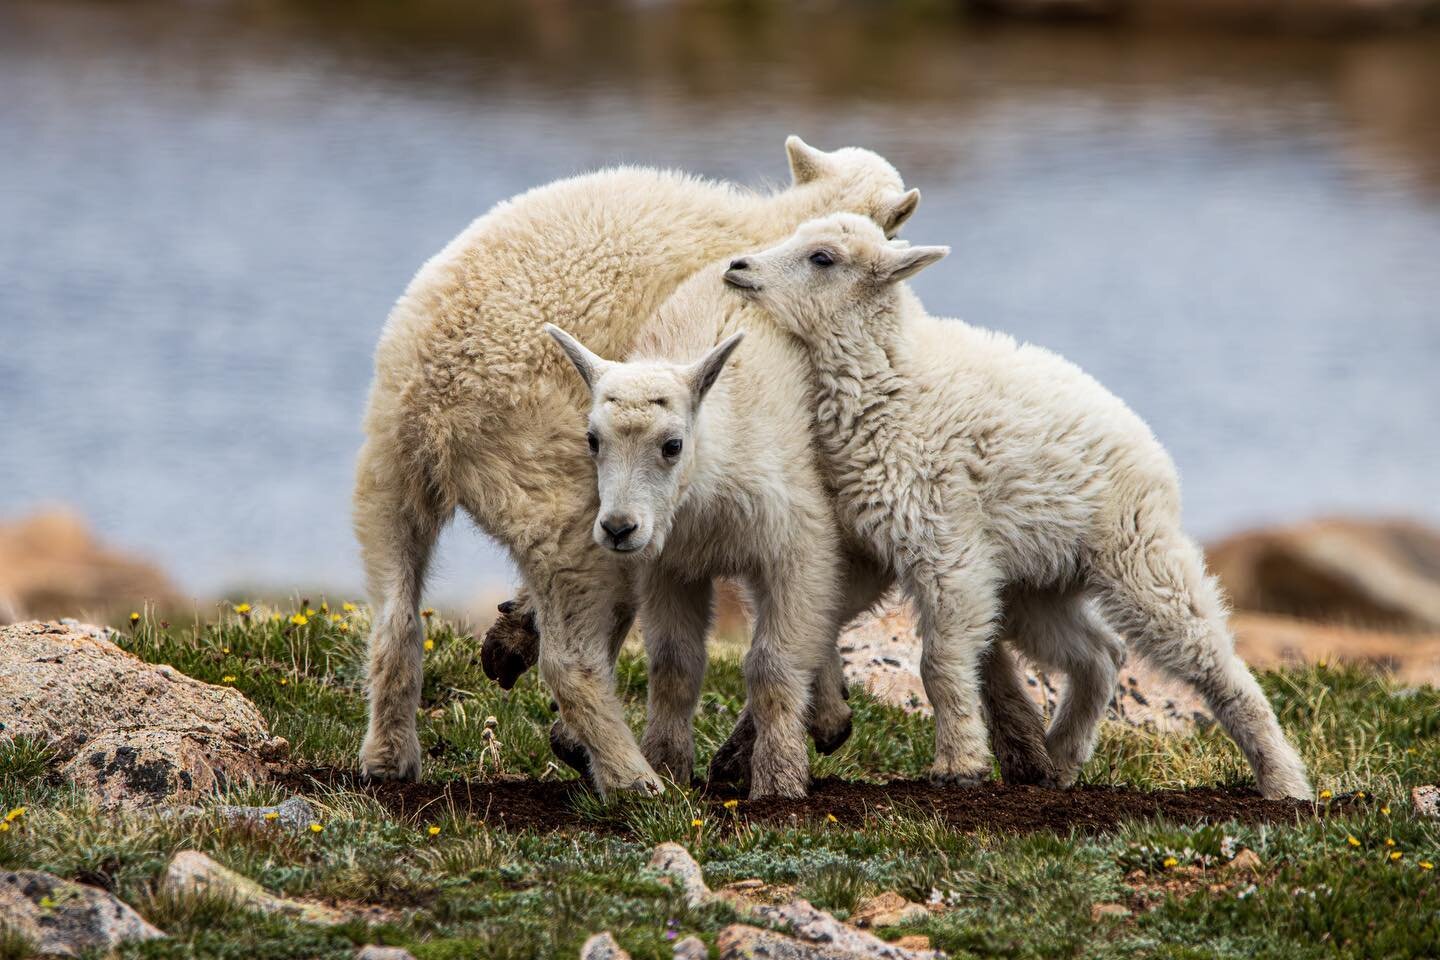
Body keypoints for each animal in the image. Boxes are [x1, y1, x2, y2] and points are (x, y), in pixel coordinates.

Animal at [725, 214, 1313, 800]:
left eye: (823, 258)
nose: (737, 267)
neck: (888, 382)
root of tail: (1152, 451)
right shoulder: (869, 541)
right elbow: (818, 619)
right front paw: (821, 725)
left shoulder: (945, 541)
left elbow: (939, 661)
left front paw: (958, 765)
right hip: (1039, 583)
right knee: (1100, 654)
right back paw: (1059, 759)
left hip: (1138, 552)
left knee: (1206, 653)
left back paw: (1284, 781)